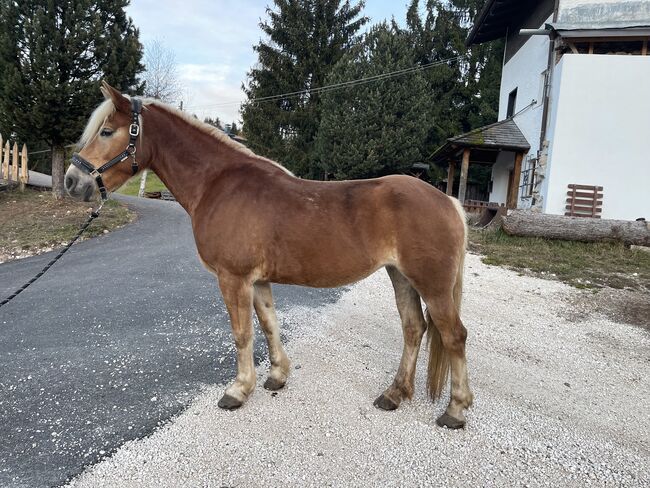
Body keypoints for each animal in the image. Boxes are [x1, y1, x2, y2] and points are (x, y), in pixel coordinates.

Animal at [64, 82, 470, 428]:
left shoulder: (233, 278)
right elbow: (269, 325)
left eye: (106, 131)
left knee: (454, 336)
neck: (218, 184)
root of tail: (449, 201)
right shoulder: (257, 281)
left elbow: (242, 333)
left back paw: (455, 410)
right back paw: (394, 394)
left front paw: (238, 390)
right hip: (401, 276)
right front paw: (276, 376)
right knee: (413, 328)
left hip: (432, 285)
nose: (72, 180)